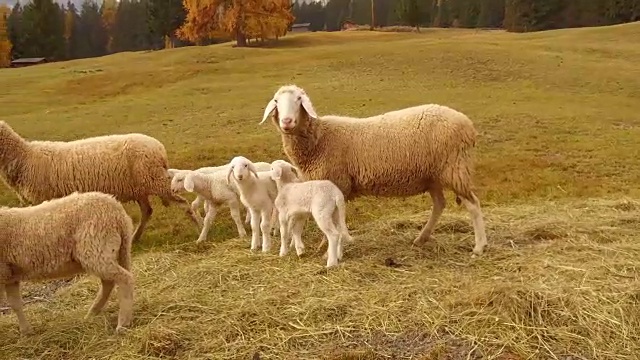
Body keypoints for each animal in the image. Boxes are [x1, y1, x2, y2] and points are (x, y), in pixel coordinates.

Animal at [0, 119, 199, 243]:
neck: (23, 157)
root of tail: (159, 148)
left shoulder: (44, 200)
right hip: (141, 188)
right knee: (147, 211)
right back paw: (135, 238)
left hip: (155, 181)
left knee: (183, 203)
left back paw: (198, 227)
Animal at [0, 191, 135, 334]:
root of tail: (118, 211)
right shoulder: (10, 275)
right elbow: (15, 304)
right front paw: (26, 331)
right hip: (108, 252)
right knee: (109, 283)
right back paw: (92, 314)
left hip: (97, 248)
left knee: (124, 279)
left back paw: (122, 324)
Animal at [258, 83, 488, 256]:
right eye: (277, 101)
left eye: (299, 99)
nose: (287, 121)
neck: (319, 139)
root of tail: (468, 126)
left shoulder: (336, 182)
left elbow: (332, 221)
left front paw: (327, 247)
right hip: (433, 176)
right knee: (440, 204)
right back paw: (421, 238)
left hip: (455, 168)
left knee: (473, 204)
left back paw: (479, 246)